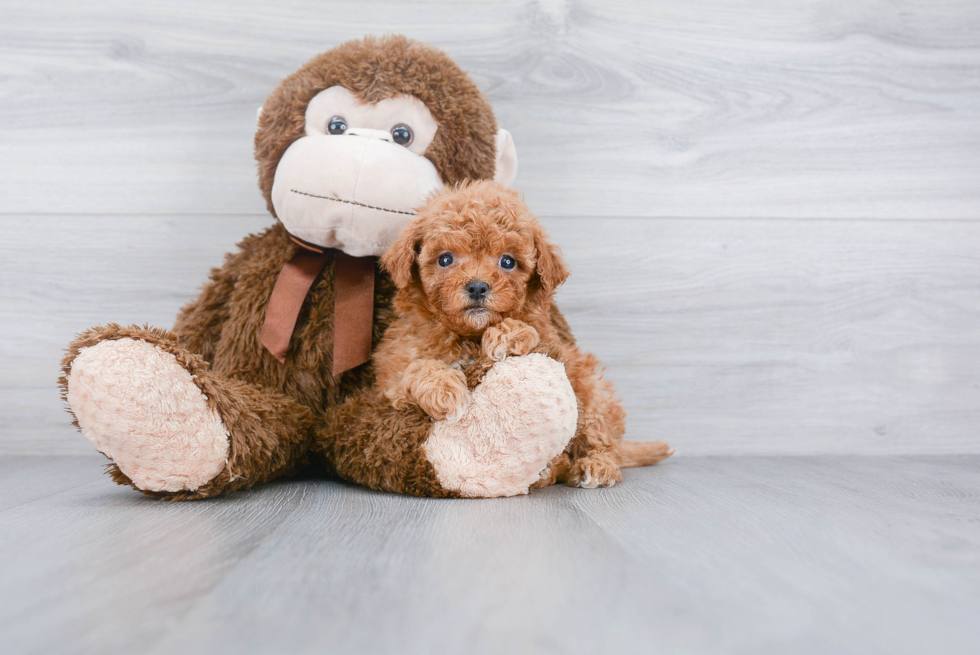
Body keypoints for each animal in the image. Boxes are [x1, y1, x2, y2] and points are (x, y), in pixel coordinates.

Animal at [376, 179, 672, 486]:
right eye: (445, 259)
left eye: (507, 262)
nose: (477, 287)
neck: (469, 335)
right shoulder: (392, 374)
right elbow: (416, 368)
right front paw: (444, 391)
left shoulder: (555, 344)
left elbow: (529, 330)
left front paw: (506, 335)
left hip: (592, 392)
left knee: (600, 438)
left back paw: (597, 466)